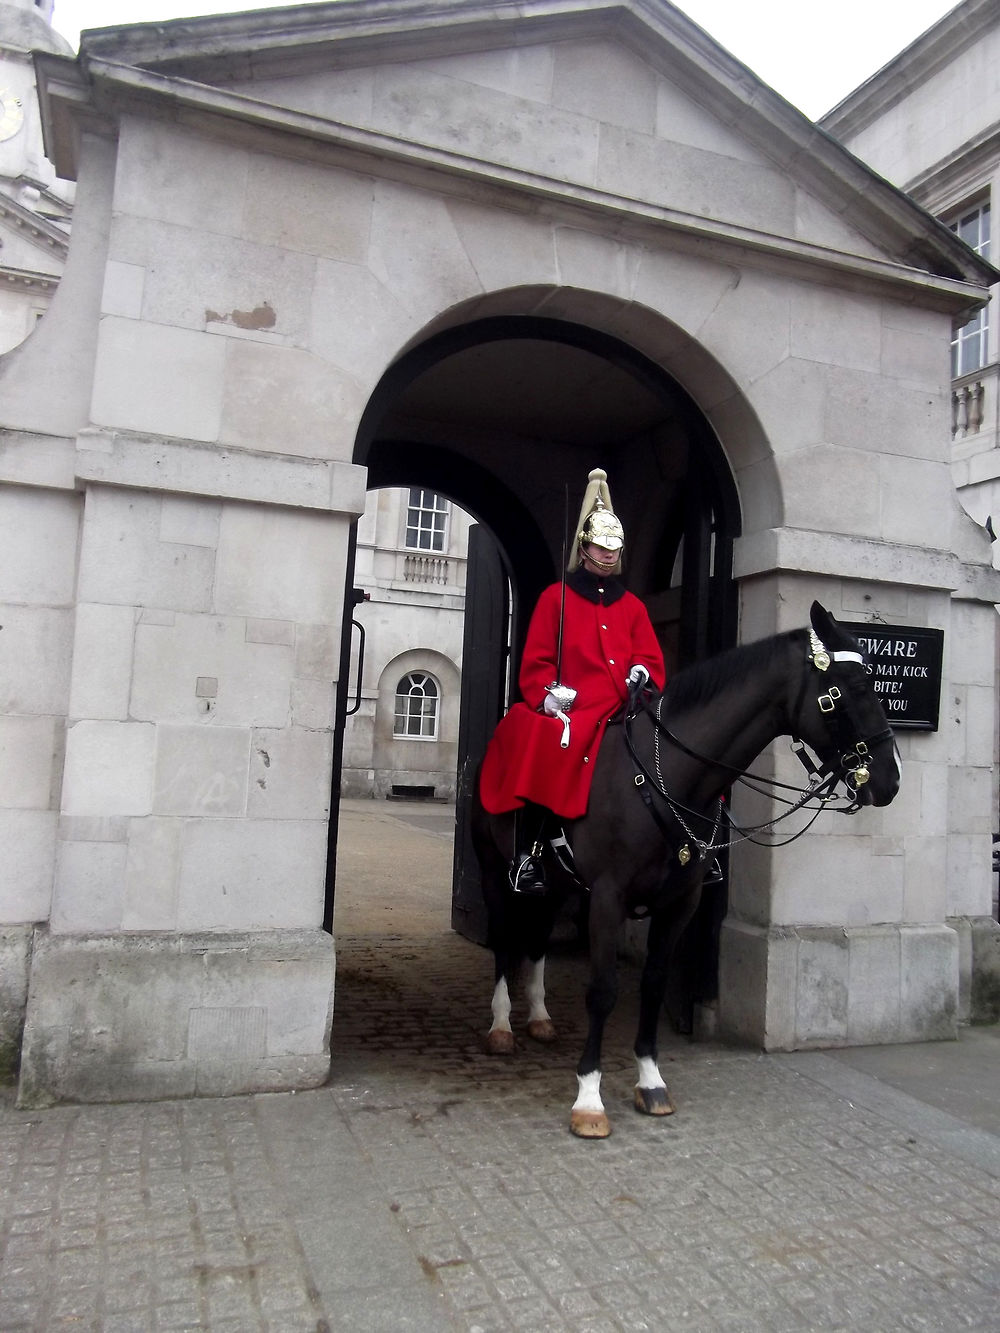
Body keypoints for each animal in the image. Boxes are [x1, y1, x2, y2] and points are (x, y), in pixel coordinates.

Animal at [474, 605, 906, 1135]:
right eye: (852, 689)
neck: (669, 779)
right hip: (493, 871)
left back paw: (538, 1016)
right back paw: (500, 1025)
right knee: (502, 939)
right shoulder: (607, 899)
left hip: (557, 885)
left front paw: (650, 1079)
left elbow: (654, 983)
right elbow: (602, 990)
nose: (891, 780)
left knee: (535, 939)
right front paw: (589, 1097)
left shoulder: (680, 902)